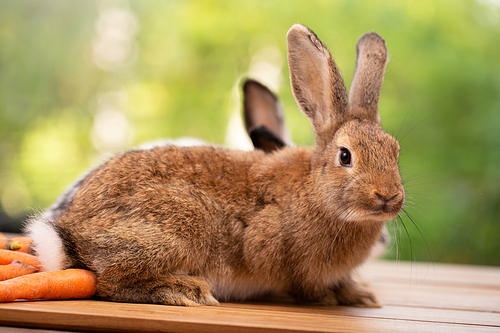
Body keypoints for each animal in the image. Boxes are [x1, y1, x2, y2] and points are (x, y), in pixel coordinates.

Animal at [25, 24, 404, 308]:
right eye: (345, 156)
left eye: (395, 152)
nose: (388, 197)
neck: (318, 194)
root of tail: (70, 234)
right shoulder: (275, 251)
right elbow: (303, 285)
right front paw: (330, 297)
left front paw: (360, 296)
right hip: (182, 222)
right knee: (108, 282)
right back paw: (184, 290)